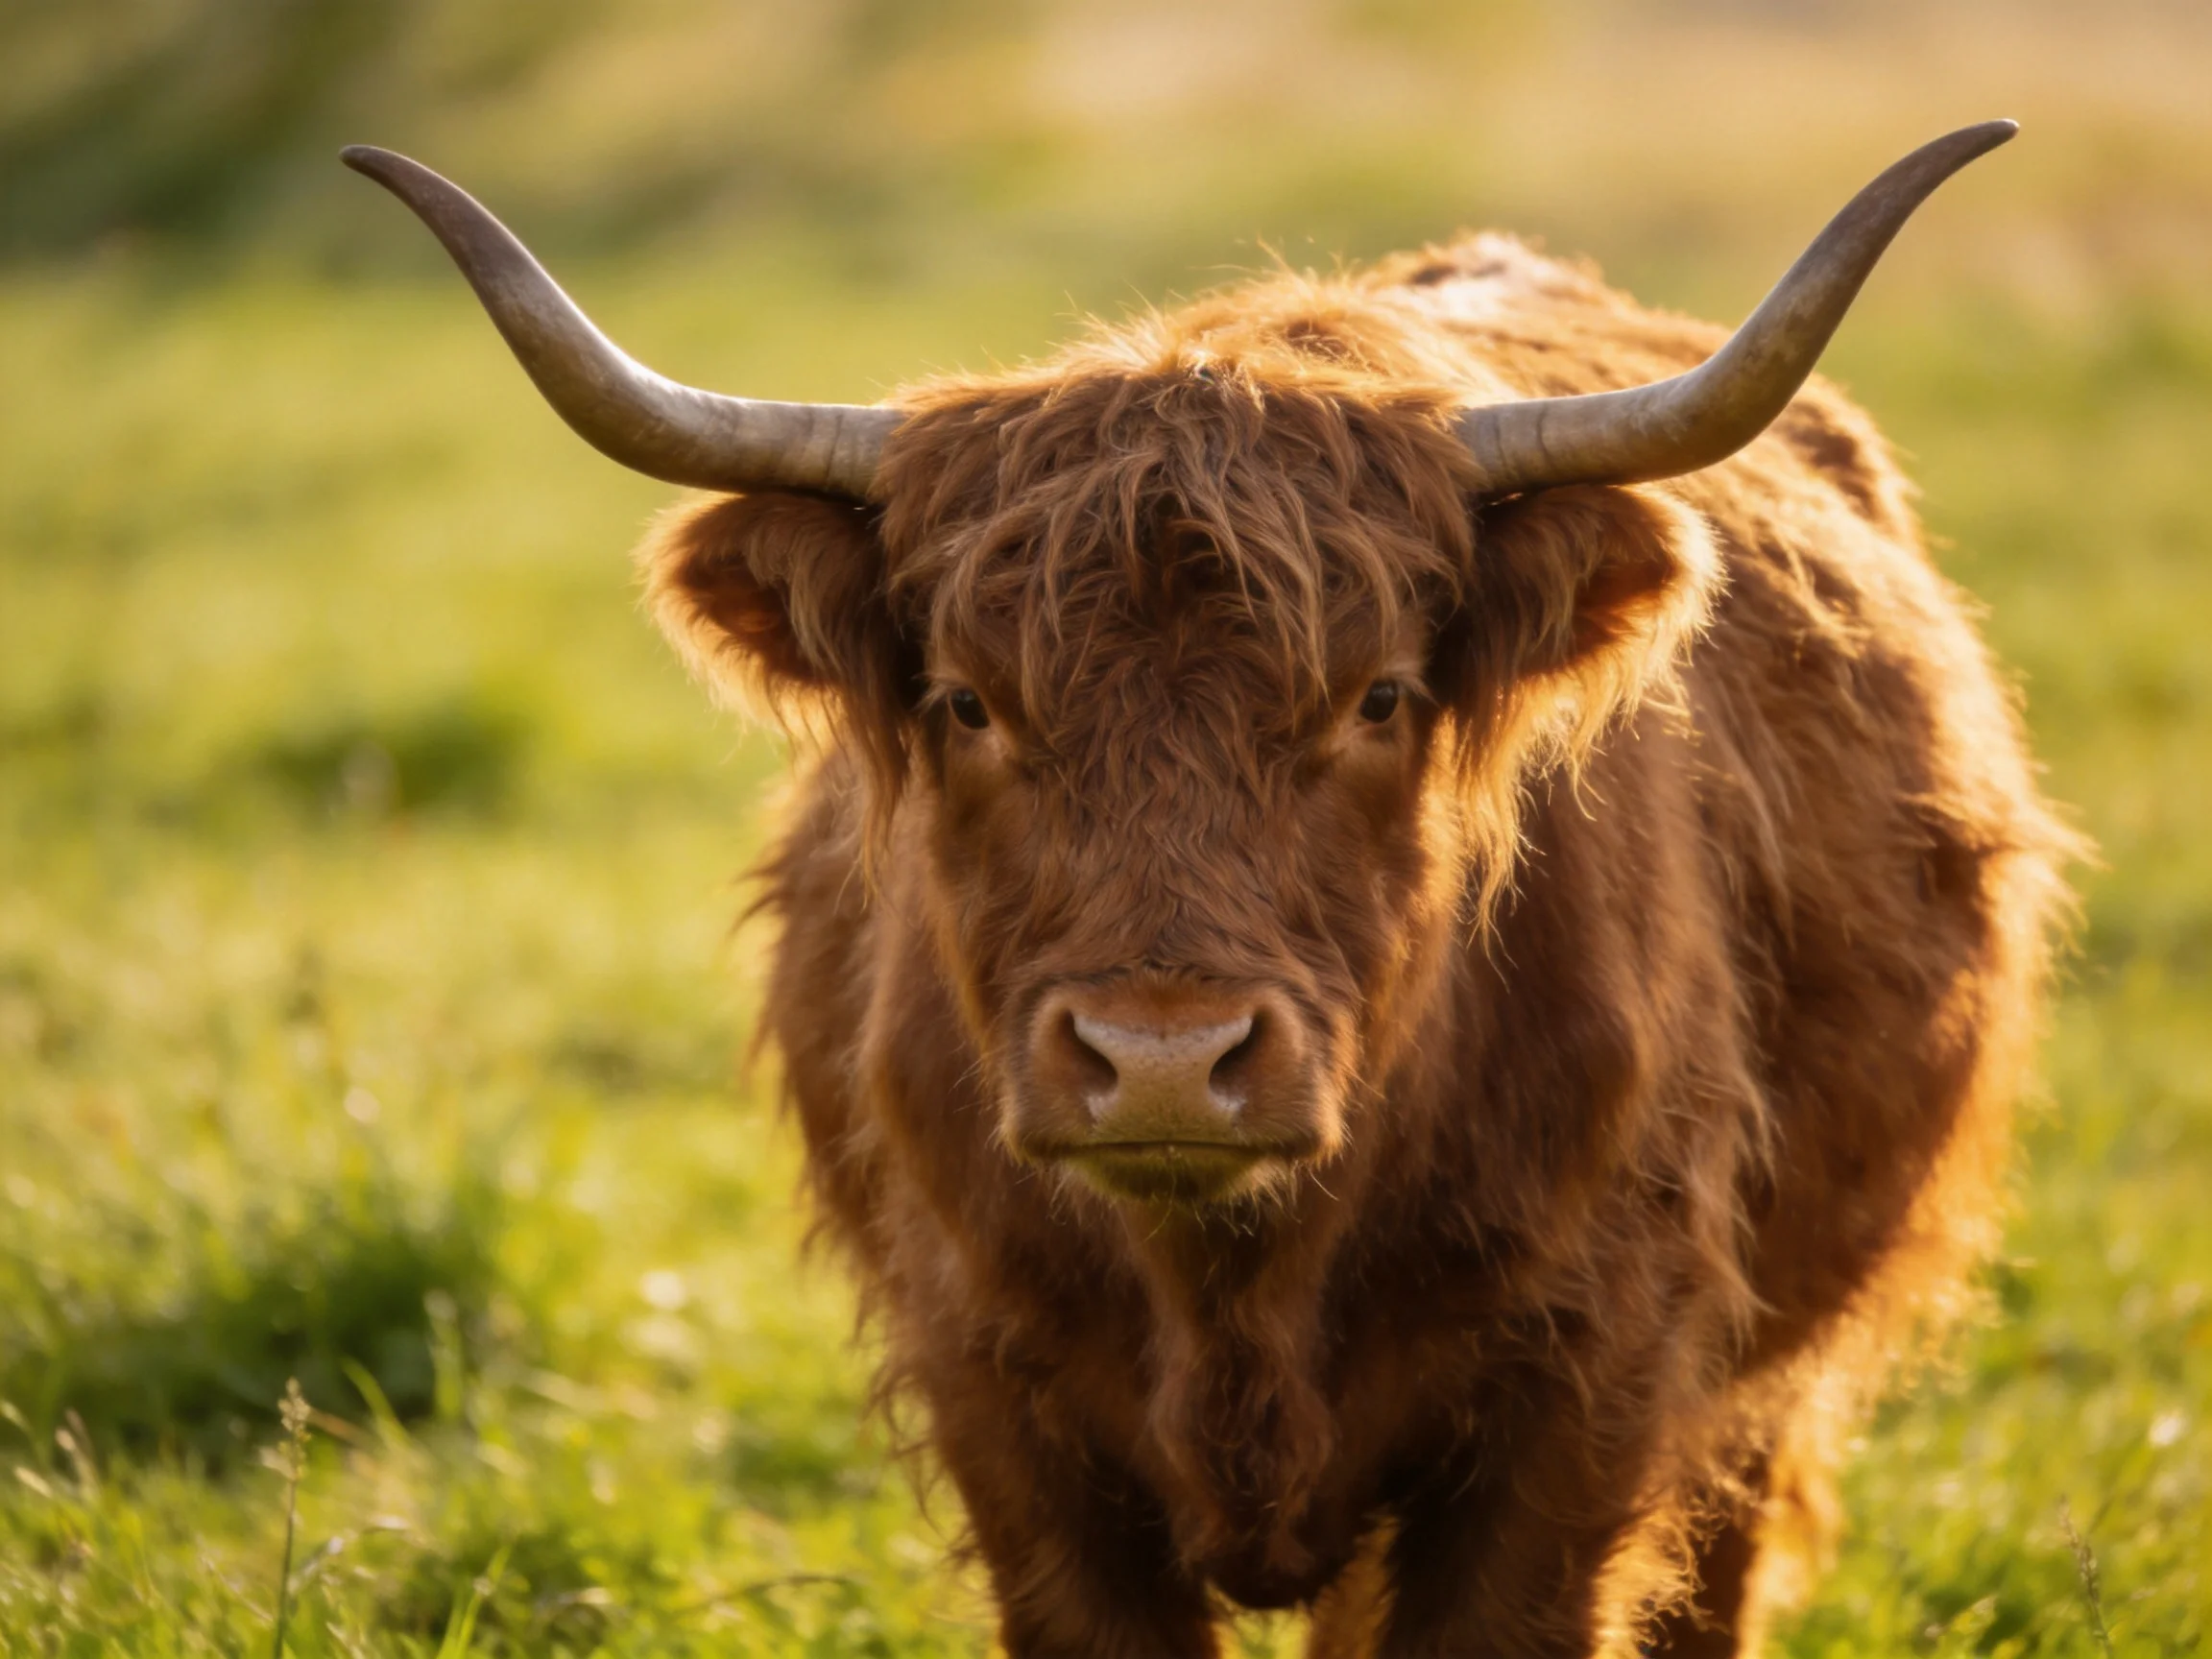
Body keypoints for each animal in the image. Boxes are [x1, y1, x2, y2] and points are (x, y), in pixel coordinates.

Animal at [347, 123, 2077, 1657]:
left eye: (1378, 697)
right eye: (966, 702)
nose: (1164, 1059)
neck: (1235, 1291)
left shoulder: (1588, 1388)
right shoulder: (999, 1402)